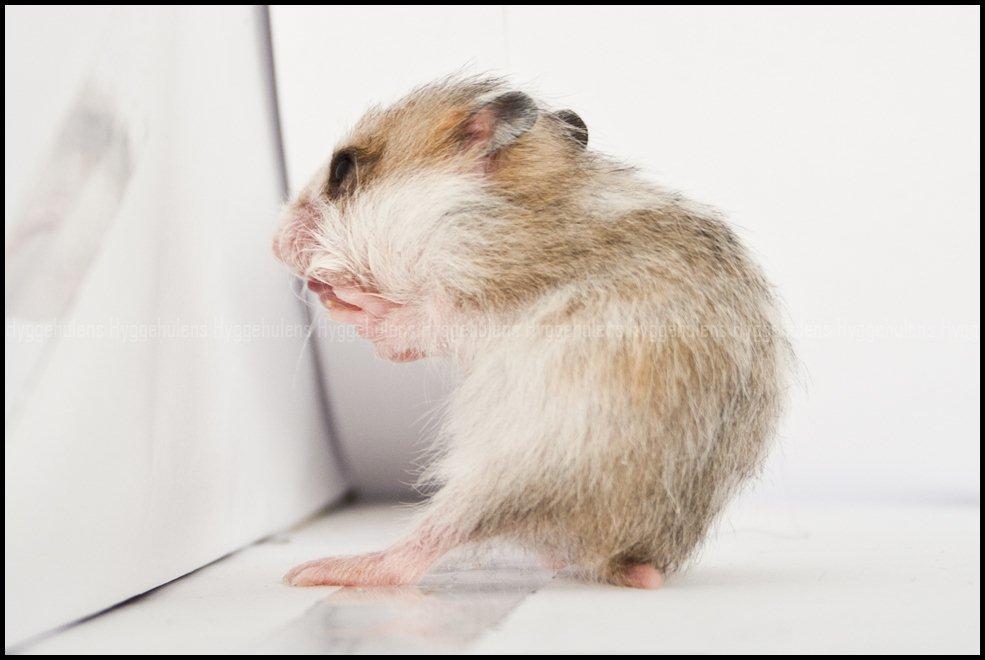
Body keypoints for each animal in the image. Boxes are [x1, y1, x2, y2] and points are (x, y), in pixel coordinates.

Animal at [273, 76, 790, 589]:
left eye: (342, 168)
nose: (274, 244)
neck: (469, 210)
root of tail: (631, 555)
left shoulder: (485, 290)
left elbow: (415, 322)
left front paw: (341, 298)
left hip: (520, 461)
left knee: (422, 550)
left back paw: (321, 571)